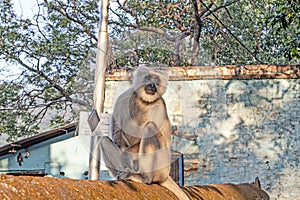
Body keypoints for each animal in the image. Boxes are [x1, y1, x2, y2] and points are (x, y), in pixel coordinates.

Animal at [101, 66, 190, 200]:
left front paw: (126, 154)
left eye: (156, 80)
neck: (144, 101)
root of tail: (166, 174)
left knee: (150, 128)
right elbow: (117, 131)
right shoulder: (125, 96)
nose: (152, 85)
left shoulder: (159, 106)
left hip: (161, 167)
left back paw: (144, 178)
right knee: (103, 140)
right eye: (148, 78)